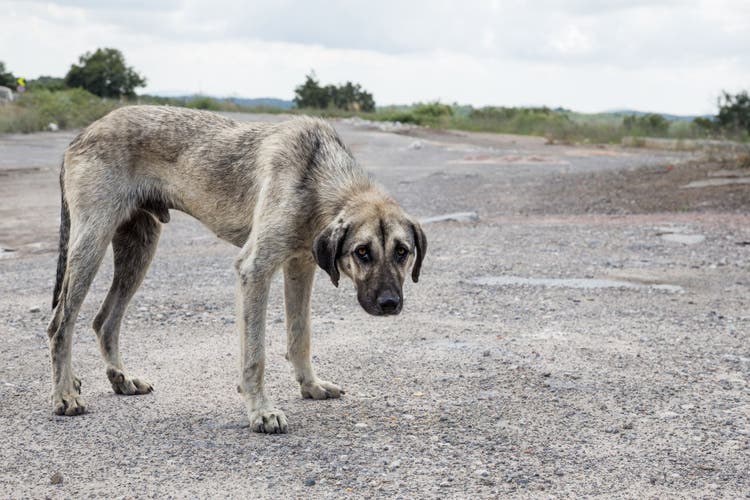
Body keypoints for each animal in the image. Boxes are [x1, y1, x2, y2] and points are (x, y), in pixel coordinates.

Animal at [47, 105, 428, 434]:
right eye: (362, 252)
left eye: (402, 252)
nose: (389, 304)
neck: (317, 175)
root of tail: (82, 134)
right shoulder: (255, 270)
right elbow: (255, 354)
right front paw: (261, 410)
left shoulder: (300, 266)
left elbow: (300, 335)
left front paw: (310, 385)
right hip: (91, 245)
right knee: (60, 324)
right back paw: (65, 394)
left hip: (138, 251)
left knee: (104, 321)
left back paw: (121, 379)